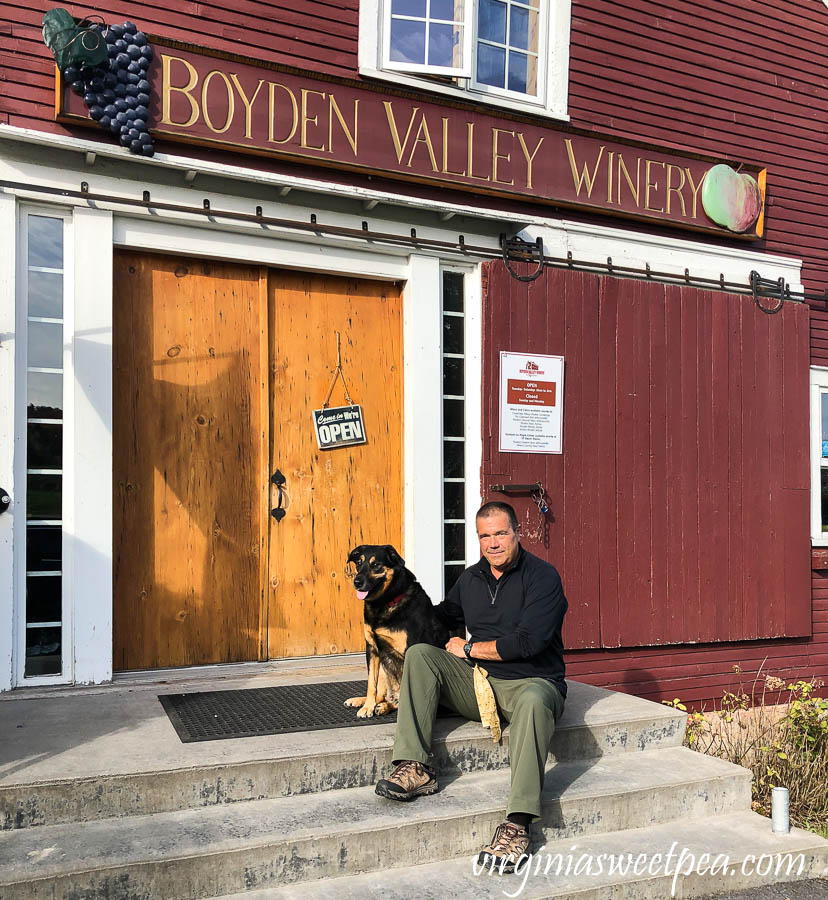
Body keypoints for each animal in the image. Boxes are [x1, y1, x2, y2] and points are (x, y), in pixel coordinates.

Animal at [342, 540, 460, 716]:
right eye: (358, 563)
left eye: (376, 565)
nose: (357, 582)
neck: (384, 603)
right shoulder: (372, 648)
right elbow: (371, 684)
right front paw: (367, 707)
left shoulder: (410, 649)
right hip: (382, 669)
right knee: (380, 694)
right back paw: (363, 702)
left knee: (394, 700)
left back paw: (385, 706)